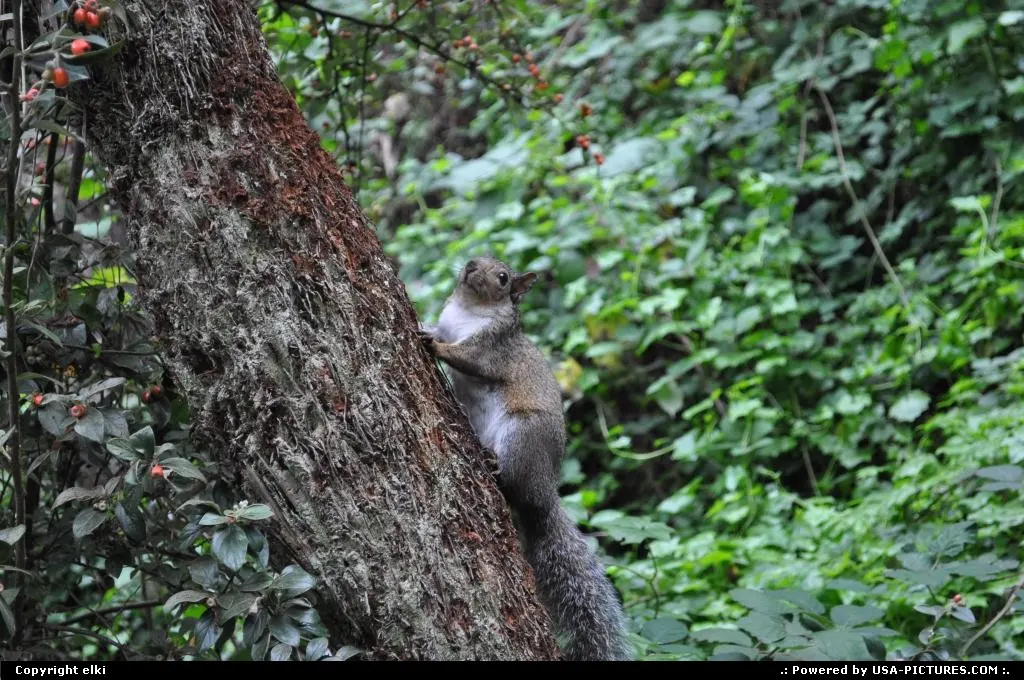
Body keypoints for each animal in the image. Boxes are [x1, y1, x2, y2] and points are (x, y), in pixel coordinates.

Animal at [418, 255, 632, 661]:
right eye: (478, 255)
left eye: (503, 278)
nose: (471, 265)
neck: (469, 308)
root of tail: (545, 494)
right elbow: (440, 327)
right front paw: (425, 327)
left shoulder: (492, 346)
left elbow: (468, 357)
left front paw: (434, 345)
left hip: (523, 434)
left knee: (514, 485)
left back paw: (496, 468)